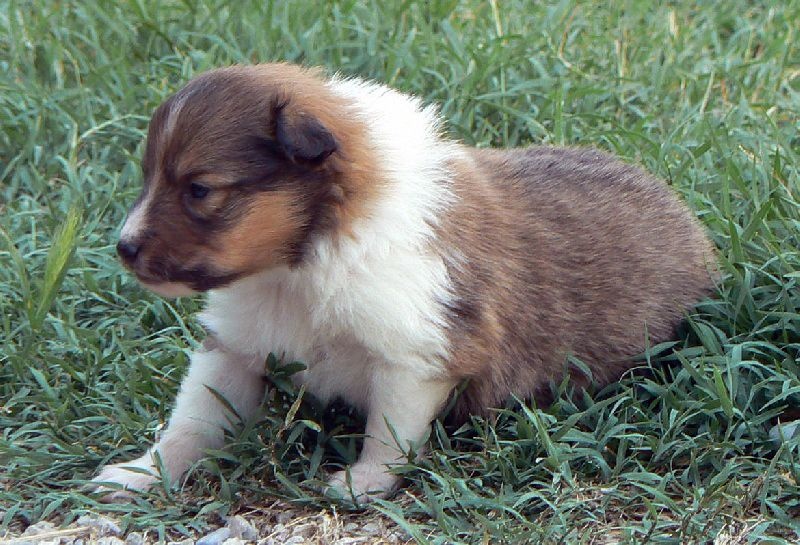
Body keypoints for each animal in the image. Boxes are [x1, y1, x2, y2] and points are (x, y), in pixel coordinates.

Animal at [96, 63, 717, 501]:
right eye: (148, 176)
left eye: (200, 189)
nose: (124, 249)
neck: (302, 265)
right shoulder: (235, 344)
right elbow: (193, 419)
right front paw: (142, 471)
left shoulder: (415, 354)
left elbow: (388, 429)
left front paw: (363, 483)